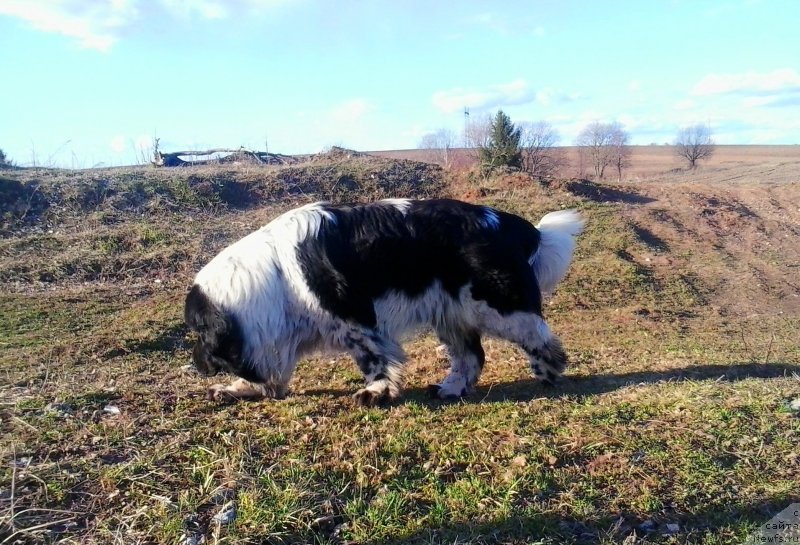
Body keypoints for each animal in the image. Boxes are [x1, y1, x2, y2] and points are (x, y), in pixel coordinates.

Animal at [183, 198, 580, 406]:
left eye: (199, 333)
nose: (197, 363)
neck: (276, 276)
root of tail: (511, 224)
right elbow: (271, 373)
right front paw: (237, 388)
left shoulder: (355, 320)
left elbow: (373, 358)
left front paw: (376, 391)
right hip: (452, 315)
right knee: (471, 357)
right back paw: (450, 388)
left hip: (497, 306)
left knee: (540, 338)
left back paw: (547, 372)